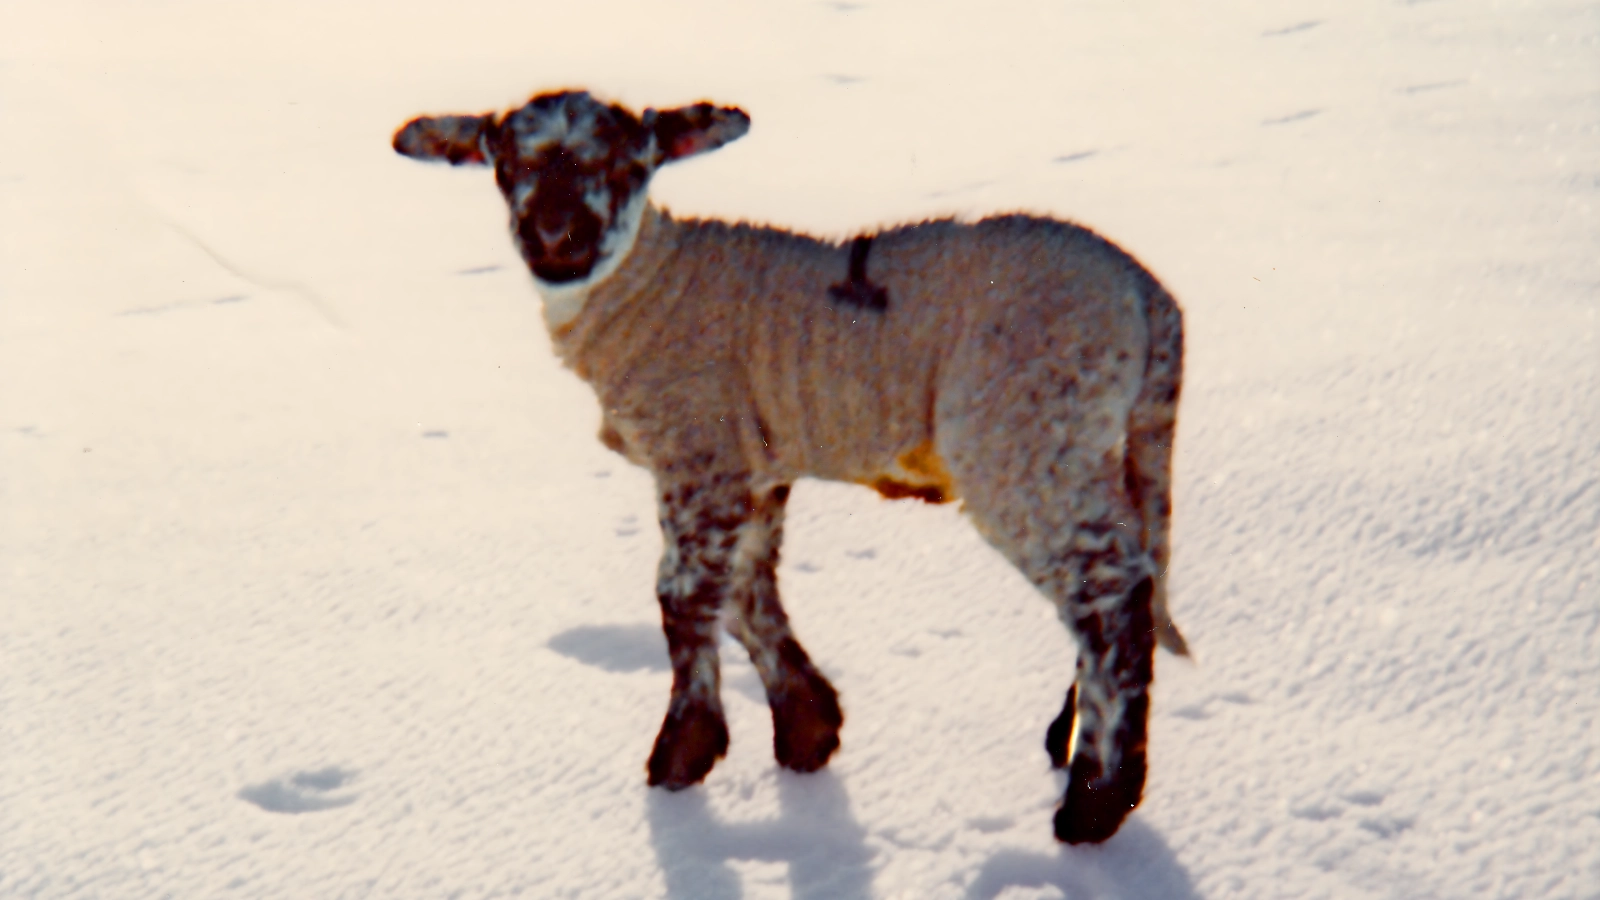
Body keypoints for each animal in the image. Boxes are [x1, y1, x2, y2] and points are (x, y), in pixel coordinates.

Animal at [392, 89, 1187, 844]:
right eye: (506, 165)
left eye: (623, 163)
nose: (556, 235)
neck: (652, 282)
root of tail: (1150, 299)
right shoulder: (752, 467)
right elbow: (748, 593)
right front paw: (807, 727)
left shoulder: (699, 450)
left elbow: (685, 597)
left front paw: (683, 754)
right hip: (1092, 443)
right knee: (1126, 580)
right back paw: (1075, 744)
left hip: (1025, 436)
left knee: (1112, 597)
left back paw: (1095, 800)